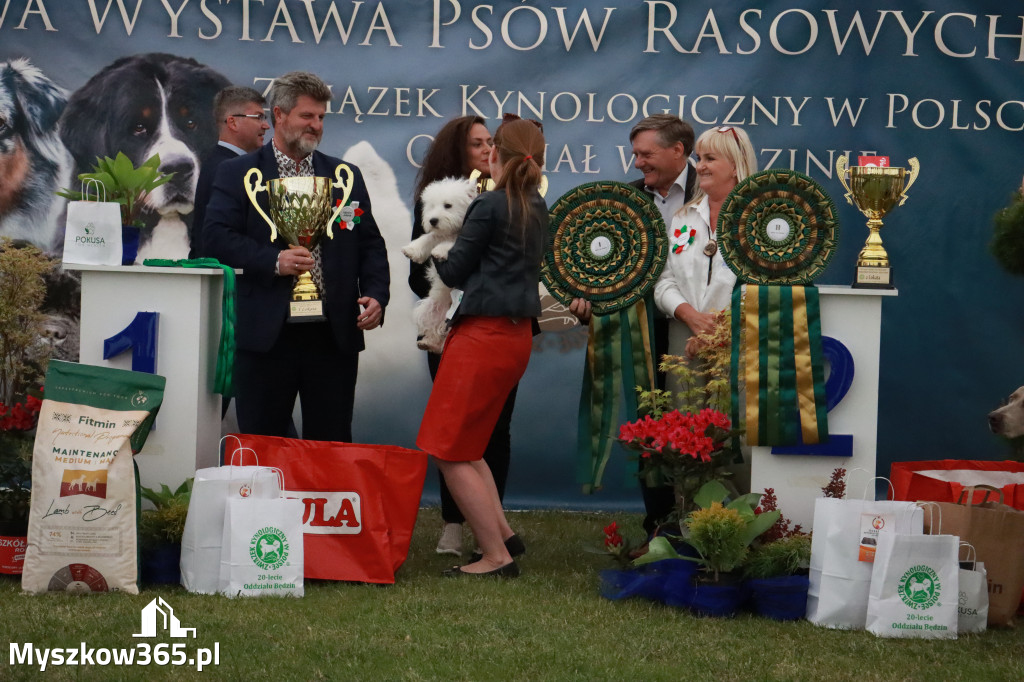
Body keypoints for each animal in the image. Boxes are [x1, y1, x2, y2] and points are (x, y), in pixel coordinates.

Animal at [401, 176, 477, 350]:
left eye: (448, 205)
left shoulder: (462, 239)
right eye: (431, 206)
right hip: (426, 309)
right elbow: (426, 238)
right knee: (435, 331)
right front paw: (411, 250)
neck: (451, 231)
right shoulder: (436, 235)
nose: (432, 220)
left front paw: (439, 252)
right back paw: (426, 342)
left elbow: (450, 245)